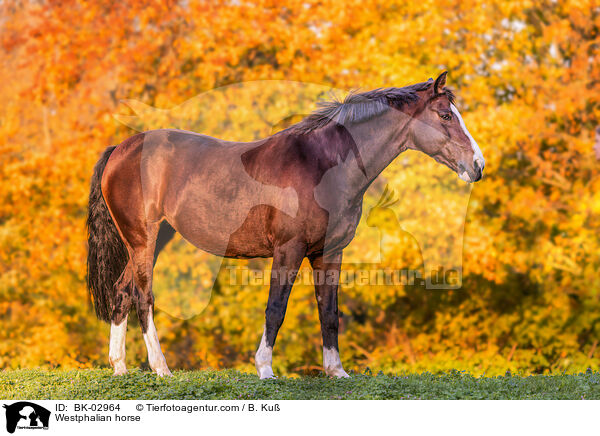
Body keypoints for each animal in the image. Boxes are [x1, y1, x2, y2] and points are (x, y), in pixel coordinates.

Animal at [86, 71, 486, 378]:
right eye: (446, 116)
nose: (478, 165)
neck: (321, 164)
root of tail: (121, 149)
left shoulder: (329, 253)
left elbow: (329, 311)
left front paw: (336, 371)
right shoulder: (288, 249)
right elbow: (276, 309)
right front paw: (265, 369)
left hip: (149, 241)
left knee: (122, 291)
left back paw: (120, 367)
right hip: (144, 239)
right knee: (143, 296)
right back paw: (161, 368)